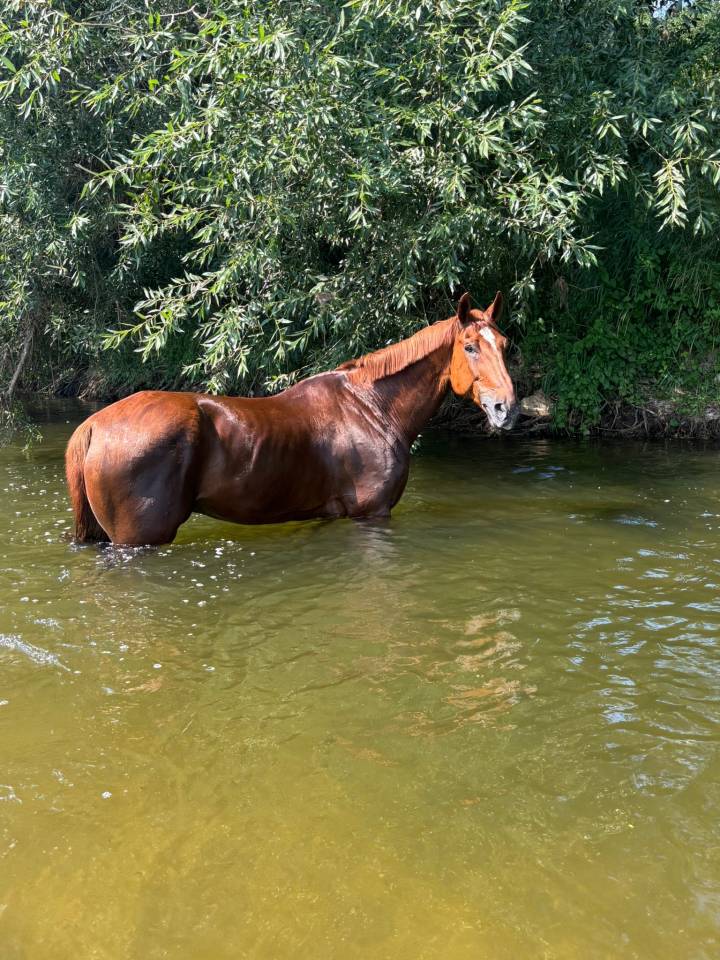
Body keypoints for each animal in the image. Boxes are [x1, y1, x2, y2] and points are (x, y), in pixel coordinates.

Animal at [65, 292, 518, 545]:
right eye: (470, 346)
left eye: (504, 344)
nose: (506, 408)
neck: (372, 406)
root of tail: (94, 426)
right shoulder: (373, 513)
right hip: (139, 539)